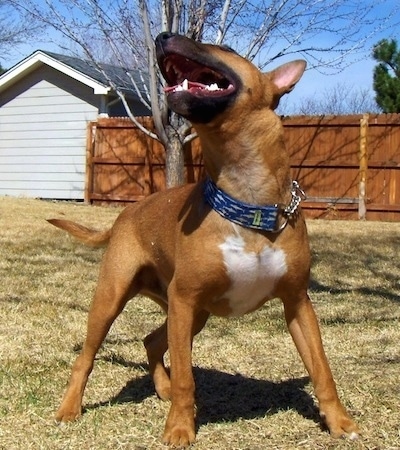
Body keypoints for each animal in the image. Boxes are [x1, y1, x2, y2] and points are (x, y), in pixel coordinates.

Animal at [49, 32, 360, 446]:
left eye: (226, 49)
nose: (162, 37)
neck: (247, 201)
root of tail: (124, 215)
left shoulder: (297, 303)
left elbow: (322, 369)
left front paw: (339, 421)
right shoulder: (185, 300)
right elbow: (186, 378)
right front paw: (180, 427)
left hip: (193, 315)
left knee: (151, 341)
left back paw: (161, 389)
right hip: (115, 299)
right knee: (87, 357)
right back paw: (71, 408)